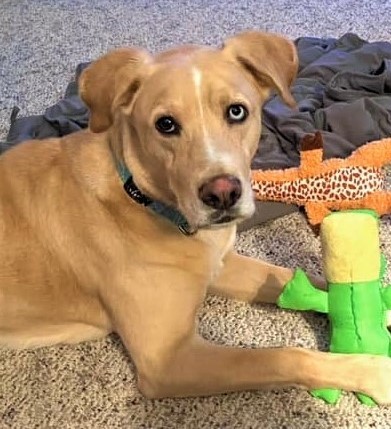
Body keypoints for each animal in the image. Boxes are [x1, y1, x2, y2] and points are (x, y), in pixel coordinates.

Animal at [0, 31, 391, 402]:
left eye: (236, 112)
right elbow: (281, 356)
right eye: (166, 124)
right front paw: (373, 371)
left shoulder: (221, 264)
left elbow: (299, 278)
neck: (142, 198)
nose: (222, 194)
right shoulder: (169, 361)